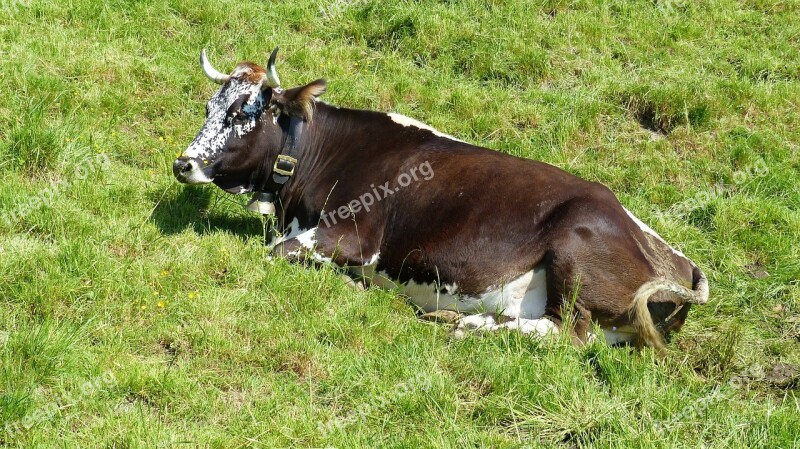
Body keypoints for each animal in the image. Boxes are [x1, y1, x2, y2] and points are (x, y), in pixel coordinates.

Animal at [173, 48, 708, 354]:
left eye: (244, 113)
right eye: (209, 107)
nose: (183, 164)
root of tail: (680, 264)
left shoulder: (354, 237)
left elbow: (275, 253)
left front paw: (352, 286)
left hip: (576, 250)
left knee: (567, 334)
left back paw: (469, 325)